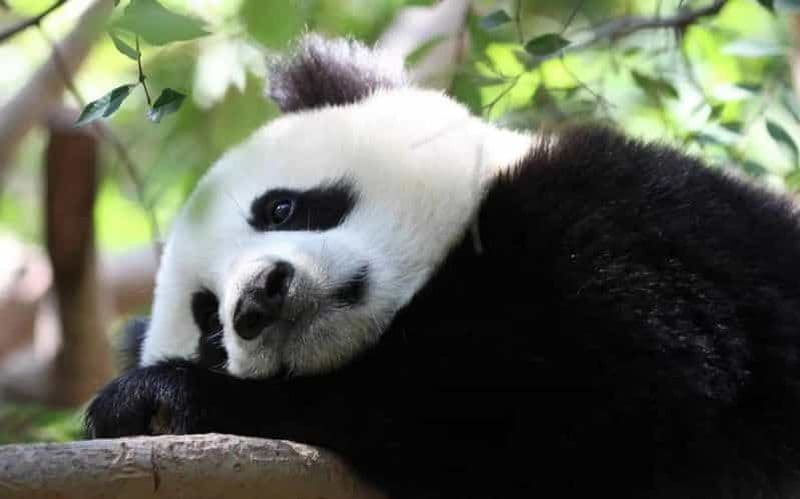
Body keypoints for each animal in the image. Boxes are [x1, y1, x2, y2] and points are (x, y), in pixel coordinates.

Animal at [86, 35, 800, 498]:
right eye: (210, 323)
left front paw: (164, 396)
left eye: (281, 206)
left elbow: (566, 380)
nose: (259, 297)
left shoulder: (635, 224)